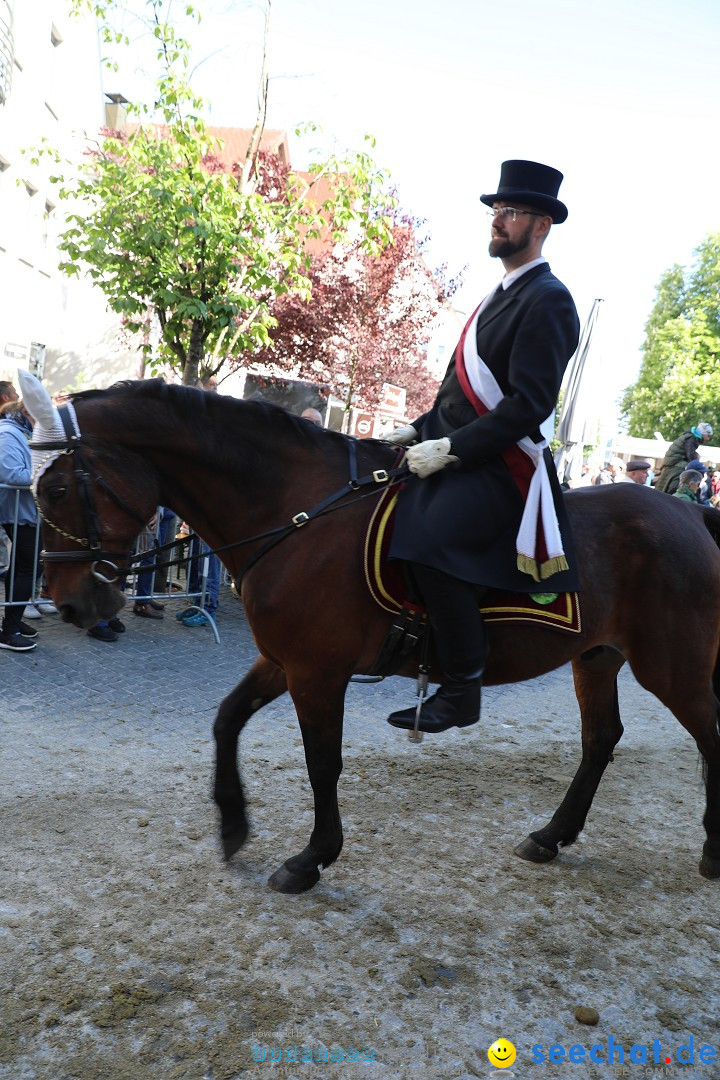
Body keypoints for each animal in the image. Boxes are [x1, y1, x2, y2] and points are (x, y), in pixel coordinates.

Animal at [21, 380, 720, 894]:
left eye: (56, 488)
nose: (69, 602)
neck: (297, 512)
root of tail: (690, 513)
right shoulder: (283, 660)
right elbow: (226, 720)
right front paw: (233, 825)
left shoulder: (316, 671)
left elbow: (322, 762)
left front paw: (311, 859)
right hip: (596, 658)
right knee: (601, 739)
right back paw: (551, 836)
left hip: (672, 667)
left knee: (706, 735)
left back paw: (711, 849)